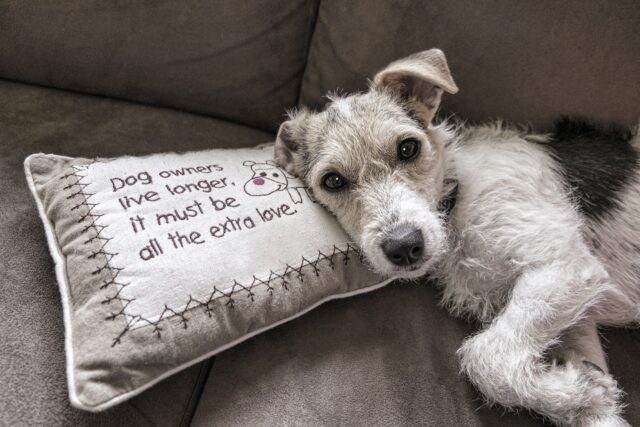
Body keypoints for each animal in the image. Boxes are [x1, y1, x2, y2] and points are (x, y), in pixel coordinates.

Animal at [276, 48, 640, 426]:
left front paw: (581, 393)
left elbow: (485, 357)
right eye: (333, 181)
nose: (404, 246)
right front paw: (582, 394)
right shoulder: (579, 319)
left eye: (408, 148)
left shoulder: (565, 265)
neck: (455, 200)